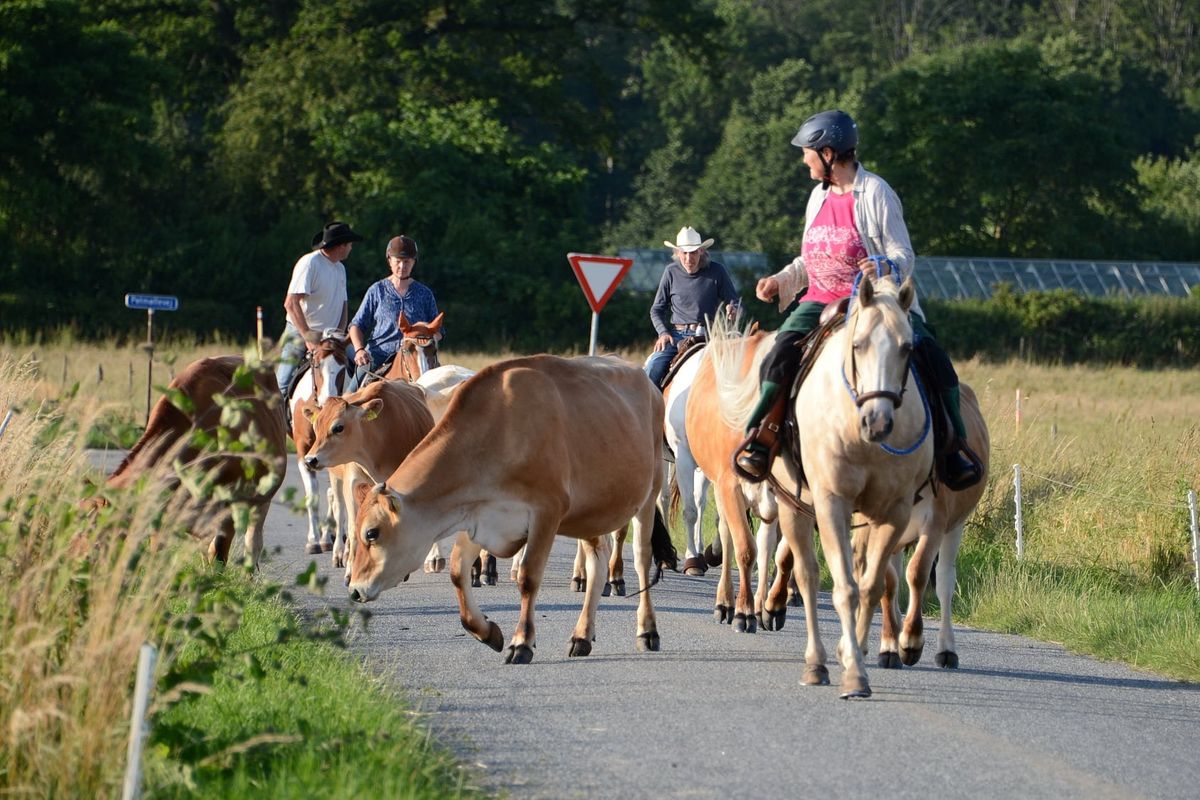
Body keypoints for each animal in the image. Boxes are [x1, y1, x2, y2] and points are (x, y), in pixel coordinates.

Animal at [350, 355, 681, 662]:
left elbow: (528, 577)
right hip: (591, 513)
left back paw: (648, 631)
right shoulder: (479, 516)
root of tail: (646, 381)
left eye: (372, 533)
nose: (354, 589)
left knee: (642, 560)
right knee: (596, 564)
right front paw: (487, 631)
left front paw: (521, 642)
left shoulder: (547, 512)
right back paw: (582, 636)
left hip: (649, 493)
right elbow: (457, 571)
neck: (498, 434)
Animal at [710, 275, 926, 700]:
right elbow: (843, 587)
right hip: (794, 504)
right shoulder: (830, 503)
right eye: (858, 345)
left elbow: (871, 586)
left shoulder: (892, 512)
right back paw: (814, 661)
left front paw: (857, 656)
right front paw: (852, 670)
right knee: (807, 575)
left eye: (908, 348)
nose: (878, 422)